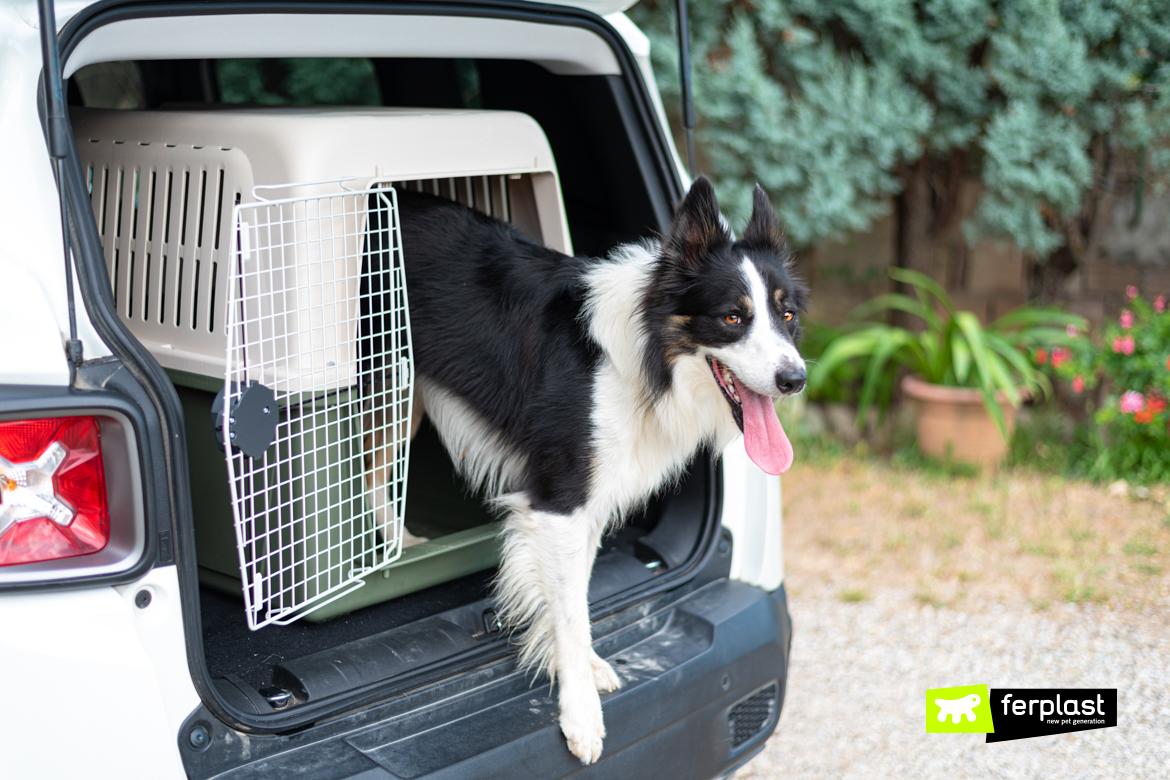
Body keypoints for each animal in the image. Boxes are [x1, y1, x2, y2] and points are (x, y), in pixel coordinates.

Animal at [393, 175, 804, 762]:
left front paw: (584, 667)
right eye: (732, 317)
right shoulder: (560, 500)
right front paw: (581, 712)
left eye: (787, 316)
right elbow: (568, 610)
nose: (796, 380)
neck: (646, 356)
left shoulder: (588, 502)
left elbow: (575, 594)